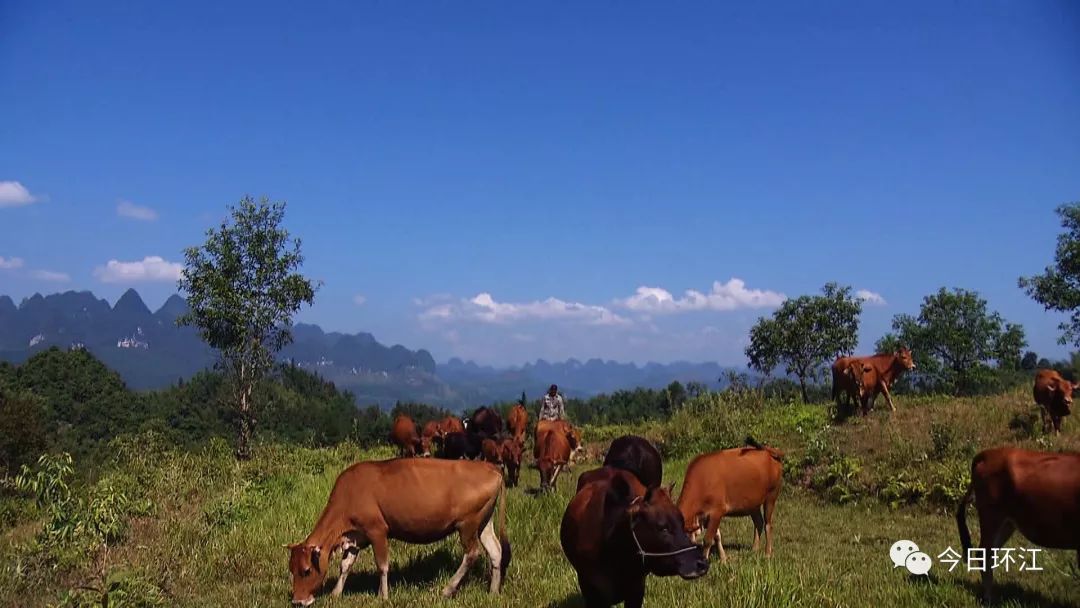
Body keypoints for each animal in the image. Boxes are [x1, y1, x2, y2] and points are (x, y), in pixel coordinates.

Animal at [285, 460, 507, 604]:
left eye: (306, 570)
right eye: (291, 570)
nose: (297, 601)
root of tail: (491, 467)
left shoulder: (377, 530)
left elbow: (382, 565)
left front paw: (383, 596)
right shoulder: (356, 536)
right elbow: (345, 566)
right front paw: (335, 593)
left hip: (467, 524)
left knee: (472, 553)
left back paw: (447, 589)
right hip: (484, 523)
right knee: (495, 551)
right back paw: (493, 592)